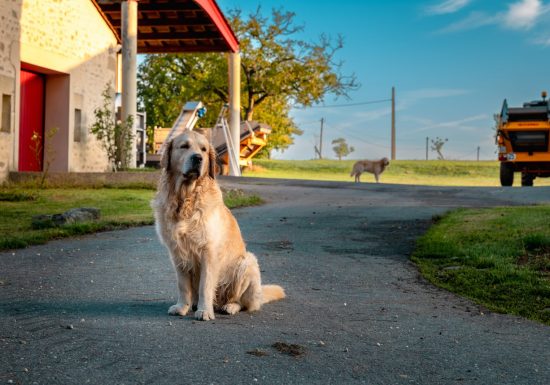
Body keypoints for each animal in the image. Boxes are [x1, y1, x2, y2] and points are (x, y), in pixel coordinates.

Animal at [153, 130, 286, 320]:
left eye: (203, 149)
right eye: (184, 146)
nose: (198, 158)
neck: (186, 199)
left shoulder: (208, 251)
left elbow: (205, 286)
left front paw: (204, 311)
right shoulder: (177, 252)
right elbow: (183, 285)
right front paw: (182, 307)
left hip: (247, 262)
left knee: (244, 303)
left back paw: (229, 306)